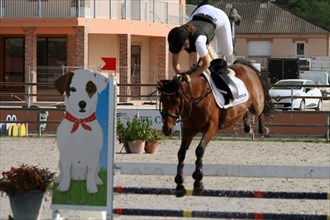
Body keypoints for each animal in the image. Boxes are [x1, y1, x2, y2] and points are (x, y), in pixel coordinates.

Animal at [157, 58, 274, 198]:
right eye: (162, 100)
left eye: (176, 101)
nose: (167, 130)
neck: (196, 99)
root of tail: (245, 66)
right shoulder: (189, 130)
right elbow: (181, 153)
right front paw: (179, 184)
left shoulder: (211, 128)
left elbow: (199, 150)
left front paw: (198, 182)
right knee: (245, 110)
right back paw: (247, 126)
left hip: (256, 104)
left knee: (260, 110)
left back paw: (263, 129)